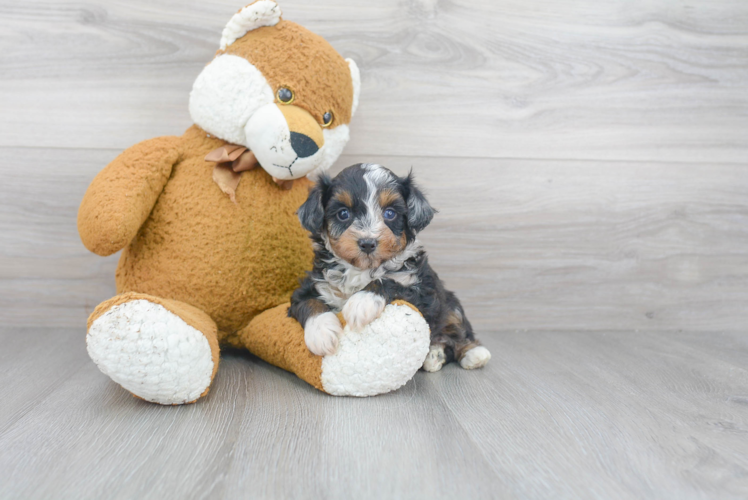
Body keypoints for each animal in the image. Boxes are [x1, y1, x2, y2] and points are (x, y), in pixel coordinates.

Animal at [288, 164, 490, 372]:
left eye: (390, 213)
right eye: (343, 214)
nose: (367, 243)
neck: (362, 269)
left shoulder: (422, 291)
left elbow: (389, 282)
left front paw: (362, 301)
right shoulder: (312, 285)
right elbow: (309, 303)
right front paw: (321, 333)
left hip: (450, 303)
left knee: (458, 328)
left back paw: (473, 353)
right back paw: (435, 355)